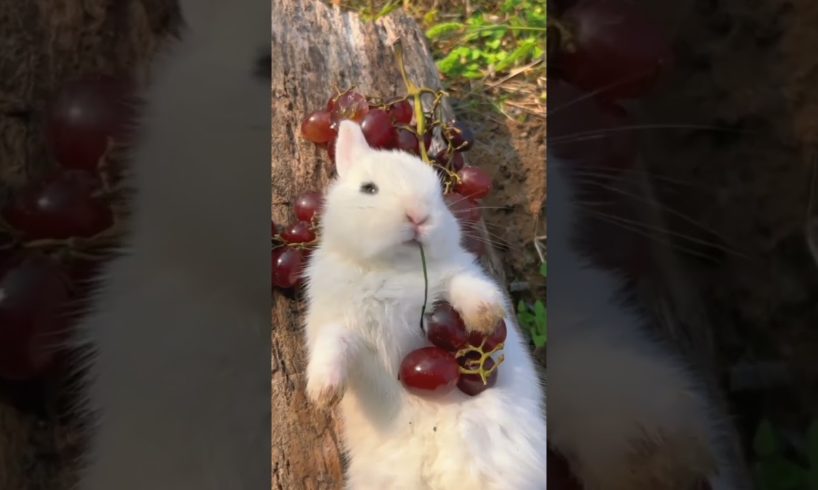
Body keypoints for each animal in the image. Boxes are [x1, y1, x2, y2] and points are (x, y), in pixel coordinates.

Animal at [302, 120, 548, 490]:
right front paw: (324, 393)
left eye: (438, 193)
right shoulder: (340, 324)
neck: (392, 269)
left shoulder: (456, 274)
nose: (418, 215)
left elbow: (468, 288)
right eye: (368, 188)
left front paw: (485, 315)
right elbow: (334, 347)